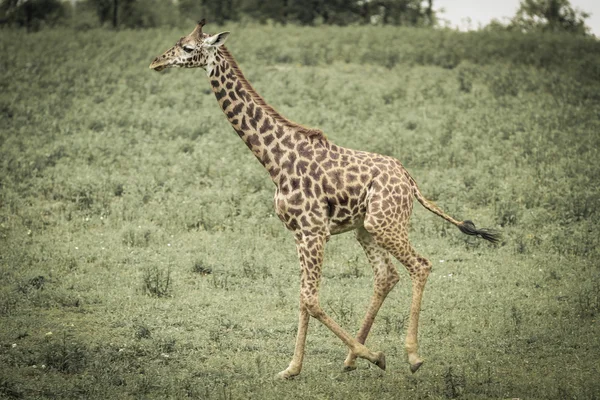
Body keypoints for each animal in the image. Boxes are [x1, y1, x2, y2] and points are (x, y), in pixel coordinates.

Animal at [151, 21, 502, 378]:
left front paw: (373, 355)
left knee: (421, 265)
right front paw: (292, 368)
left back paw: (411, 355)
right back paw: (350, 359)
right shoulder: (299, 233)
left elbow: (310, 298)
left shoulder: (313, 231)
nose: (156, 62)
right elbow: (303, 297)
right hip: (366, 228)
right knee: (386, 276)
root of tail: (409, 180)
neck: (274, 161)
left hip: (385, 223)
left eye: (189, 48)